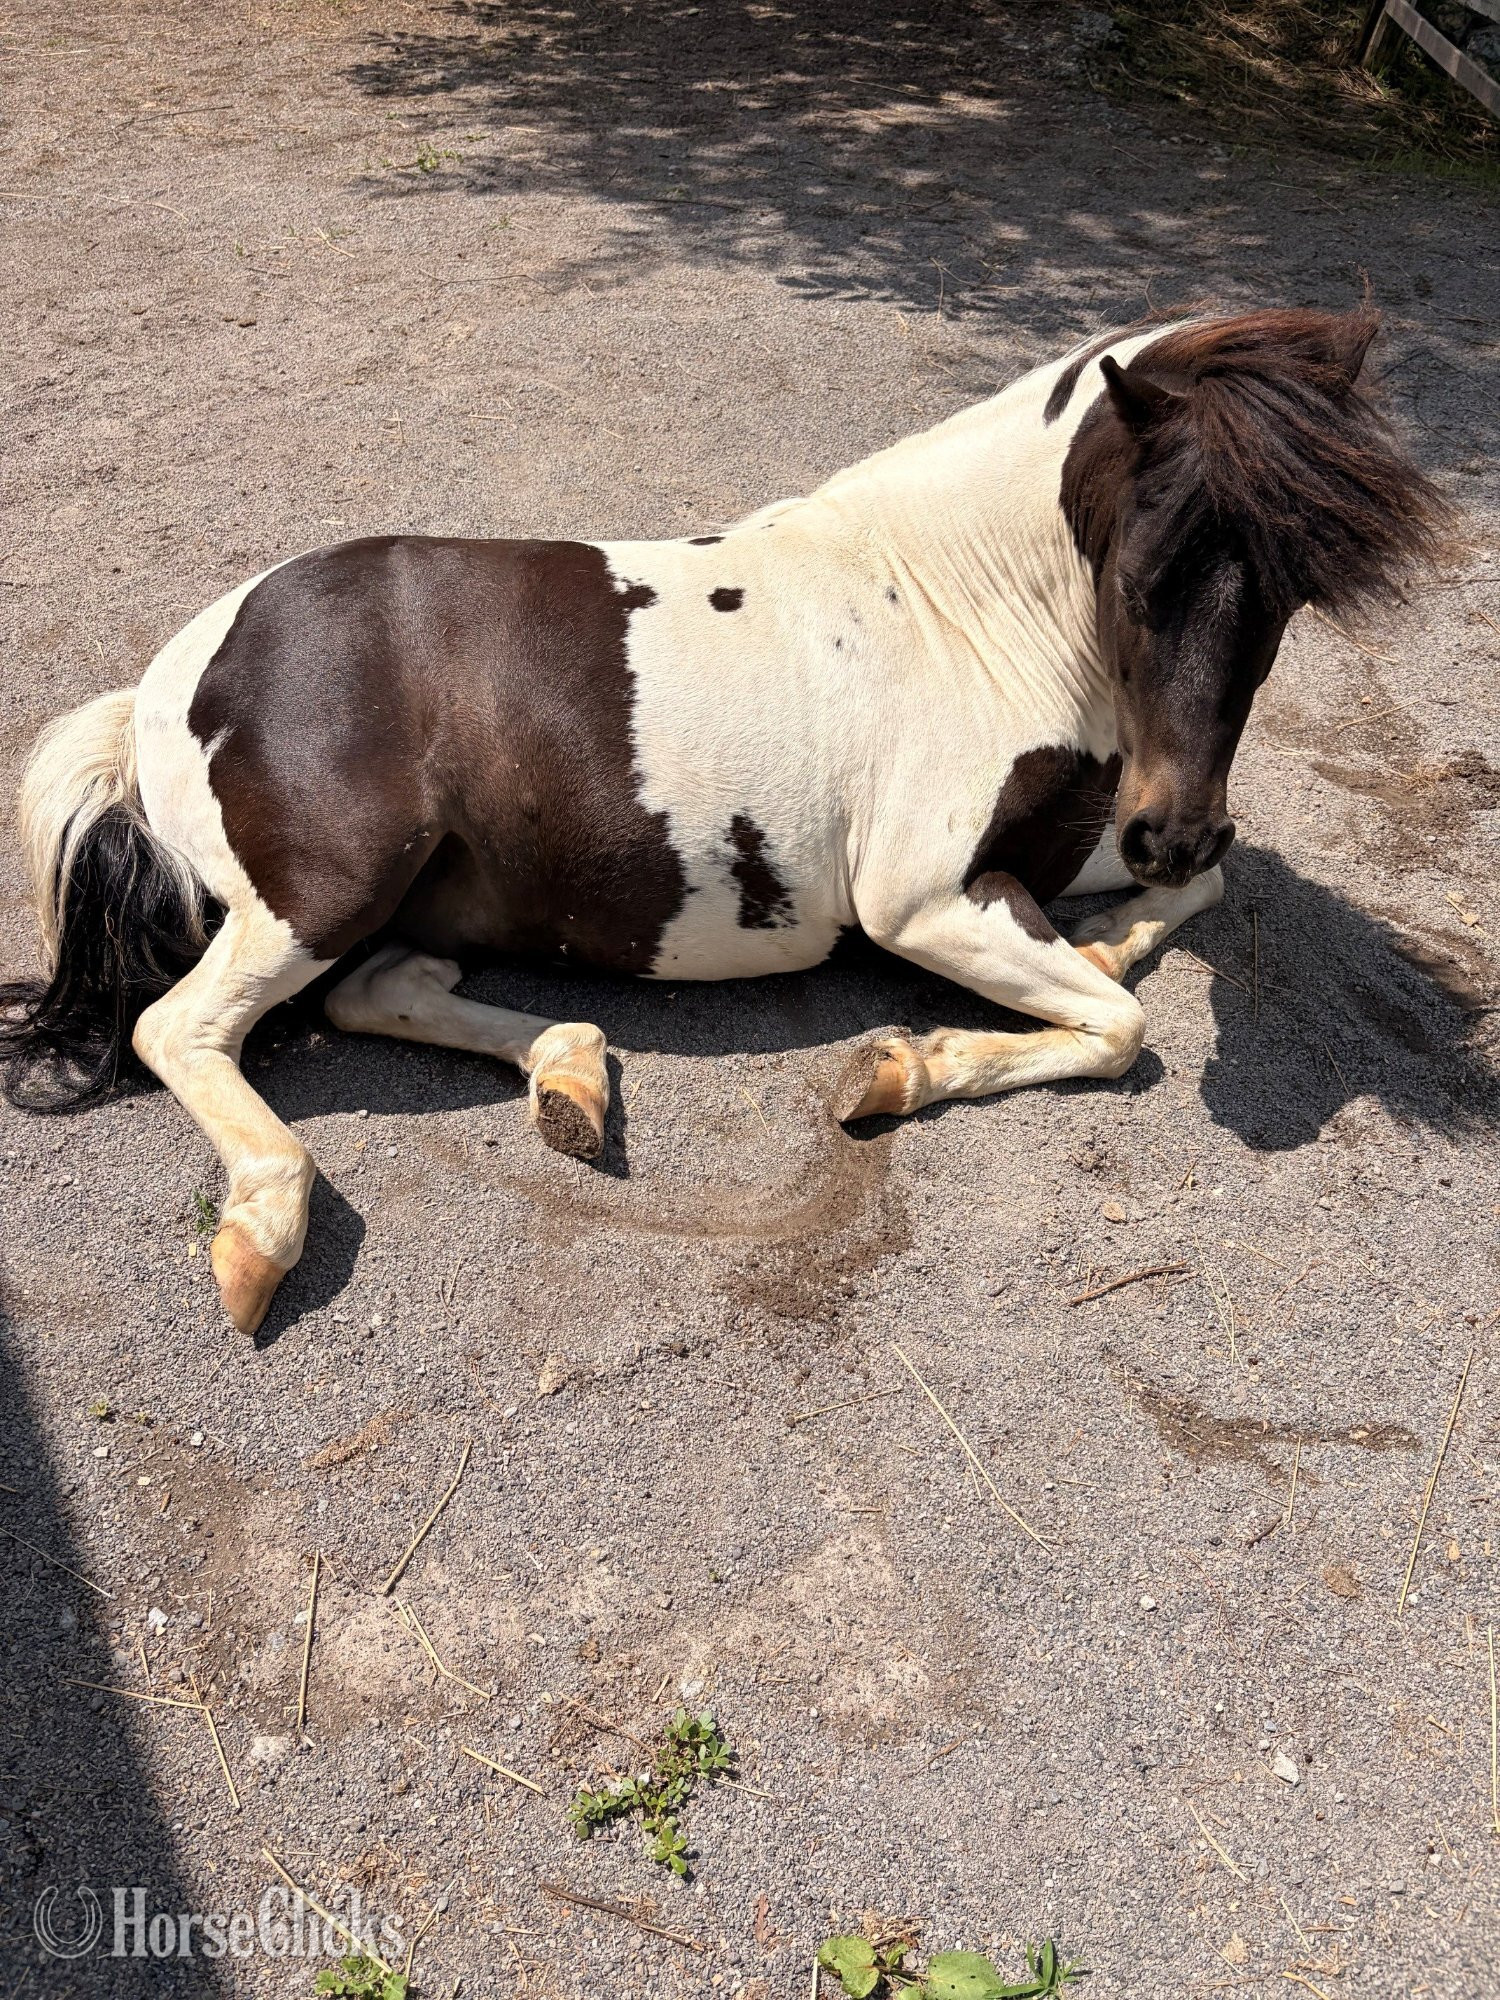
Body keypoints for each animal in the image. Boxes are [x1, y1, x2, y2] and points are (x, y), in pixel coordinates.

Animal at [0, 306, 1445, 1336]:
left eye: (1289, 596)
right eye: (1143, 576)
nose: (1175, 826)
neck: (956, 611)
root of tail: (170, 683)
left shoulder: (1059, 848)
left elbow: (1171, 928)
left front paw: (1102, 940)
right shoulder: (924, 899)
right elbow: (1122, 1026)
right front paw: (898, 1070)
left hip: (403, 897)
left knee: (383, 989)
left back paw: (572, 1078)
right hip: (331, 884)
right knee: (182, 1027)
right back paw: (263, 1235)